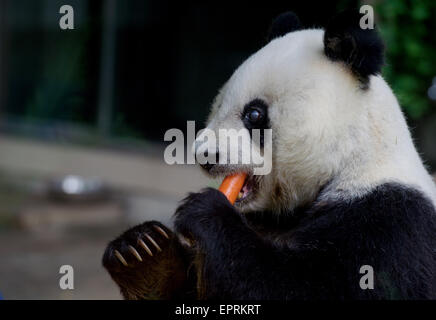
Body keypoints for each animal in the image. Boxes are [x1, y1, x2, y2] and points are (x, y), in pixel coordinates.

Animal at [102, 10, 436, 300]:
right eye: (218, 105)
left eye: (254, 114)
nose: (206, 155)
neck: (351, 158)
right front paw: (143, 254)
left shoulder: (392, 225)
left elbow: (302, 287)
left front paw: (204, 210)